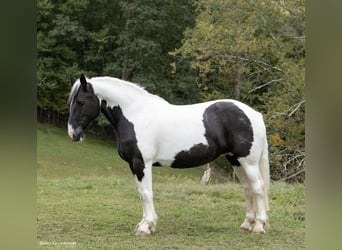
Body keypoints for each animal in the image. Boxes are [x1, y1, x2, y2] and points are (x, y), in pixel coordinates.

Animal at [67, 73, 270, 235]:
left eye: (81, 101)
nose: (72, 133)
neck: (135, 114)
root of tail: (255, 115)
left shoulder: (142, 163)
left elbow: (146, 193)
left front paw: (146, 227)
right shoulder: (134, 165)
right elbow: (141, 193)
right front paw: (144, 224)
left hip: (248, 162)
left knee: (258, 187)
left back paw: (259, 226)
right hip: (235, 160)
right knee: (247, 189)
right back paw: (246, 225)